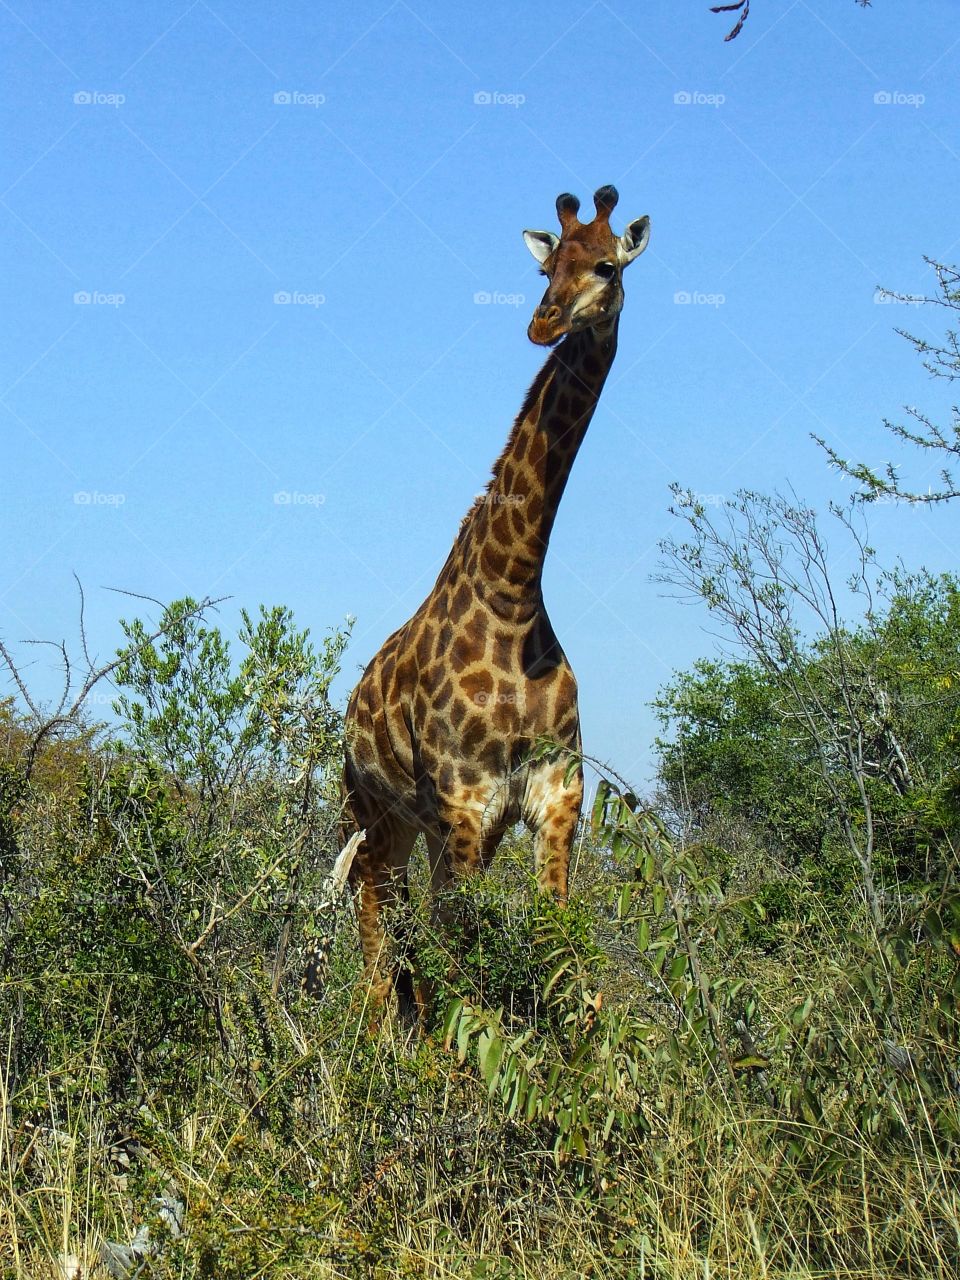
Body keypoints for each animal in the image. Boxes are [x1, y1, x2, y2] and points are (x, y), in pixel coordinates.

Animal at [340, 185, 650, 1023]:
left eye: (607, 266)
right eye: (548, 266)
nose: (544, 323)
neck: (513, 595)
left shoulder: (553, 797)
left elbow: (564, 959)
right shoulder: (466, 801)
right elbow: (457, 973)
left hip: (424, 830)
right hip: (378, 815)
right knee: (378, 938)